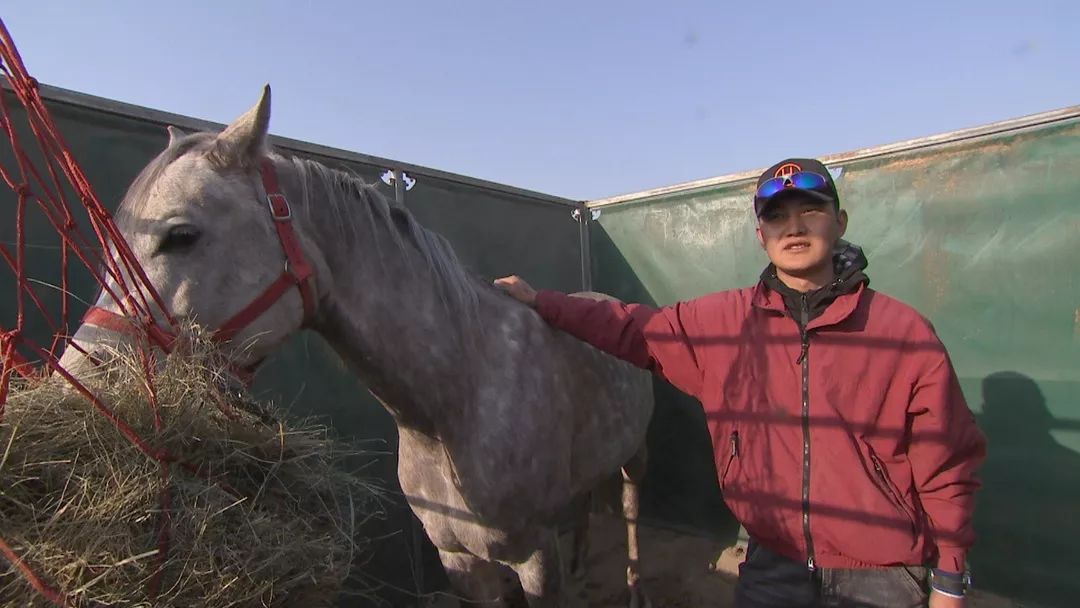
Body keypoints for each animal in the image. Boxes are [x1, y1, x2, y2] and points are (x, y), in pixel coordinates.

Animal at [57, 86, 655, 607]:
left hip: (635, 460)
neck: (456, 404)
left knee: (631, 518)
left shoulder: (534, 559)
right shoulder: (461, 562)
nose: (82, 378)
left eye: (181, 235)